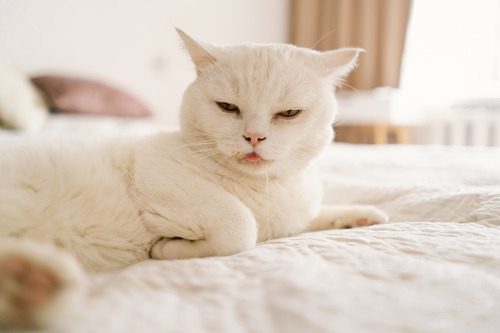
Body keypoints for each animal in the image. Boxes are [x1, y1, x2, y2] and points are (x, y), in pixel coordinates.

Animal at [0, 29, 386, 326]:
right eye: (228, 108)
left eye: (288, 113)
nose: (254, 137)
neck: (263, 190)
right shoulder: (154, 170)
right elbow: (241, 227)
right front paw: (167, 248)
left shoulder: (291, 218)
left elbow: (313, 215)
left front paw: (361, 215)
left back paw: (28, 284)